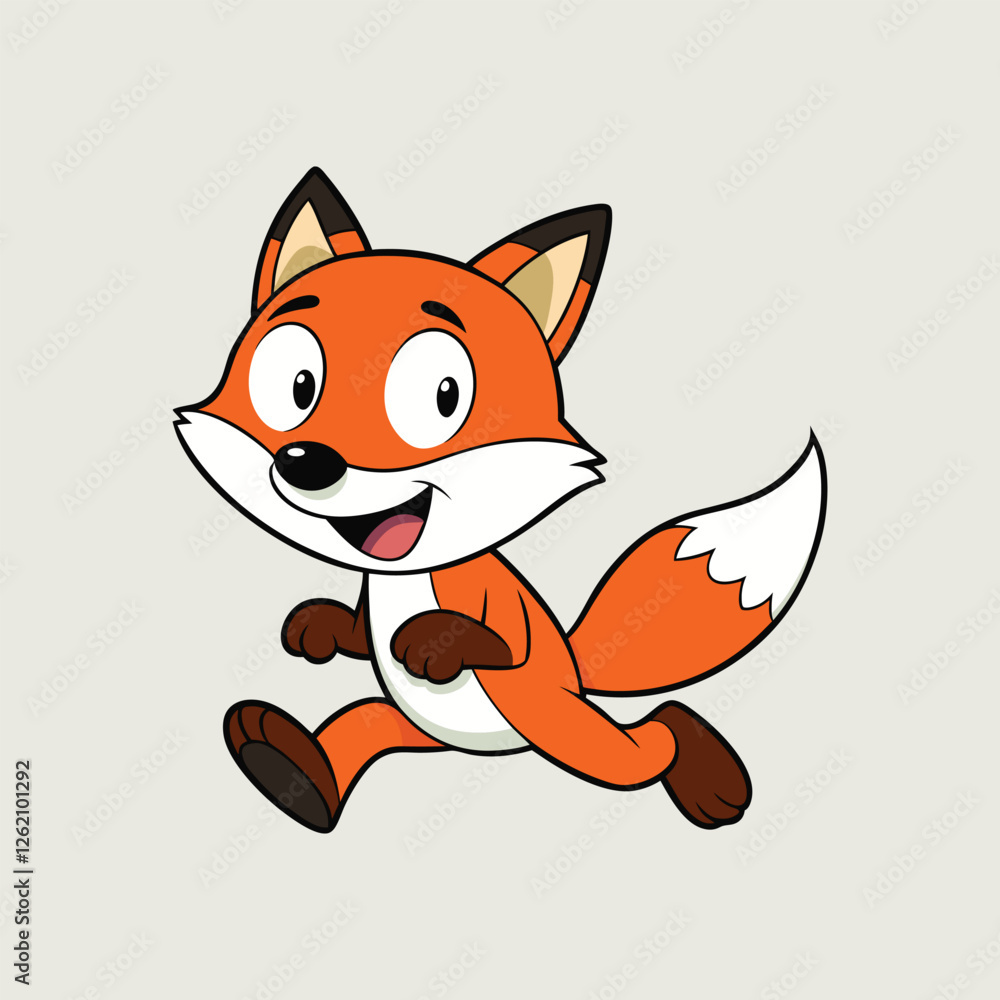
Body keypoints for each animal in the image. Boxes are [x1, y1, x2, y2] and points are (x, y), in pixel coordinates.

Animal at [176, 167, 827, 834]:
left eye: (444, 395)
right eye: (299, 385)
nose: (308, 461)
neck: (407, 575)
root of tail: (575, 669)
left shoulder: (499, 609)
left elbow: (501, 645)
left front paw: (434, 641)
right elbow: (357, 636)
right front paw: (322, 627)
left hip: (562, 726)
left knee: (648, 741)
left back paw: (708, 770)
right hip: (412, 724)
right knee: (359, 726)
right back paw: (290, 769)